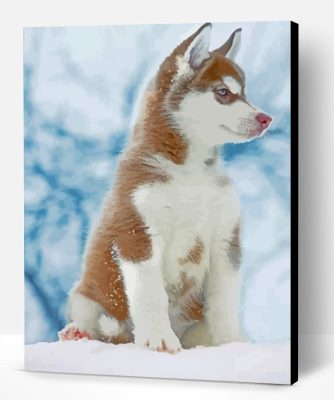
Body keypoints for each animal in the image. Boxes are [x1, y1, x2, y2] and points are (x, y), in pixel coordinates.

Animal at [58, 22, 272, 354]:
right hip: (87, 296)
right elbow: (150, 294)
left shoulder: (225, 239)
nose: (266, 119)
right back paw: (76, 333)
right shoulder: (137, 232)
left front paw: (231, 342)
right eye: (223, 92)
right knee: (99, 326)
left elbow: (223, 301)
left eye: (244, 93)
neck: (189, 171)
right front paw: (158, 338)